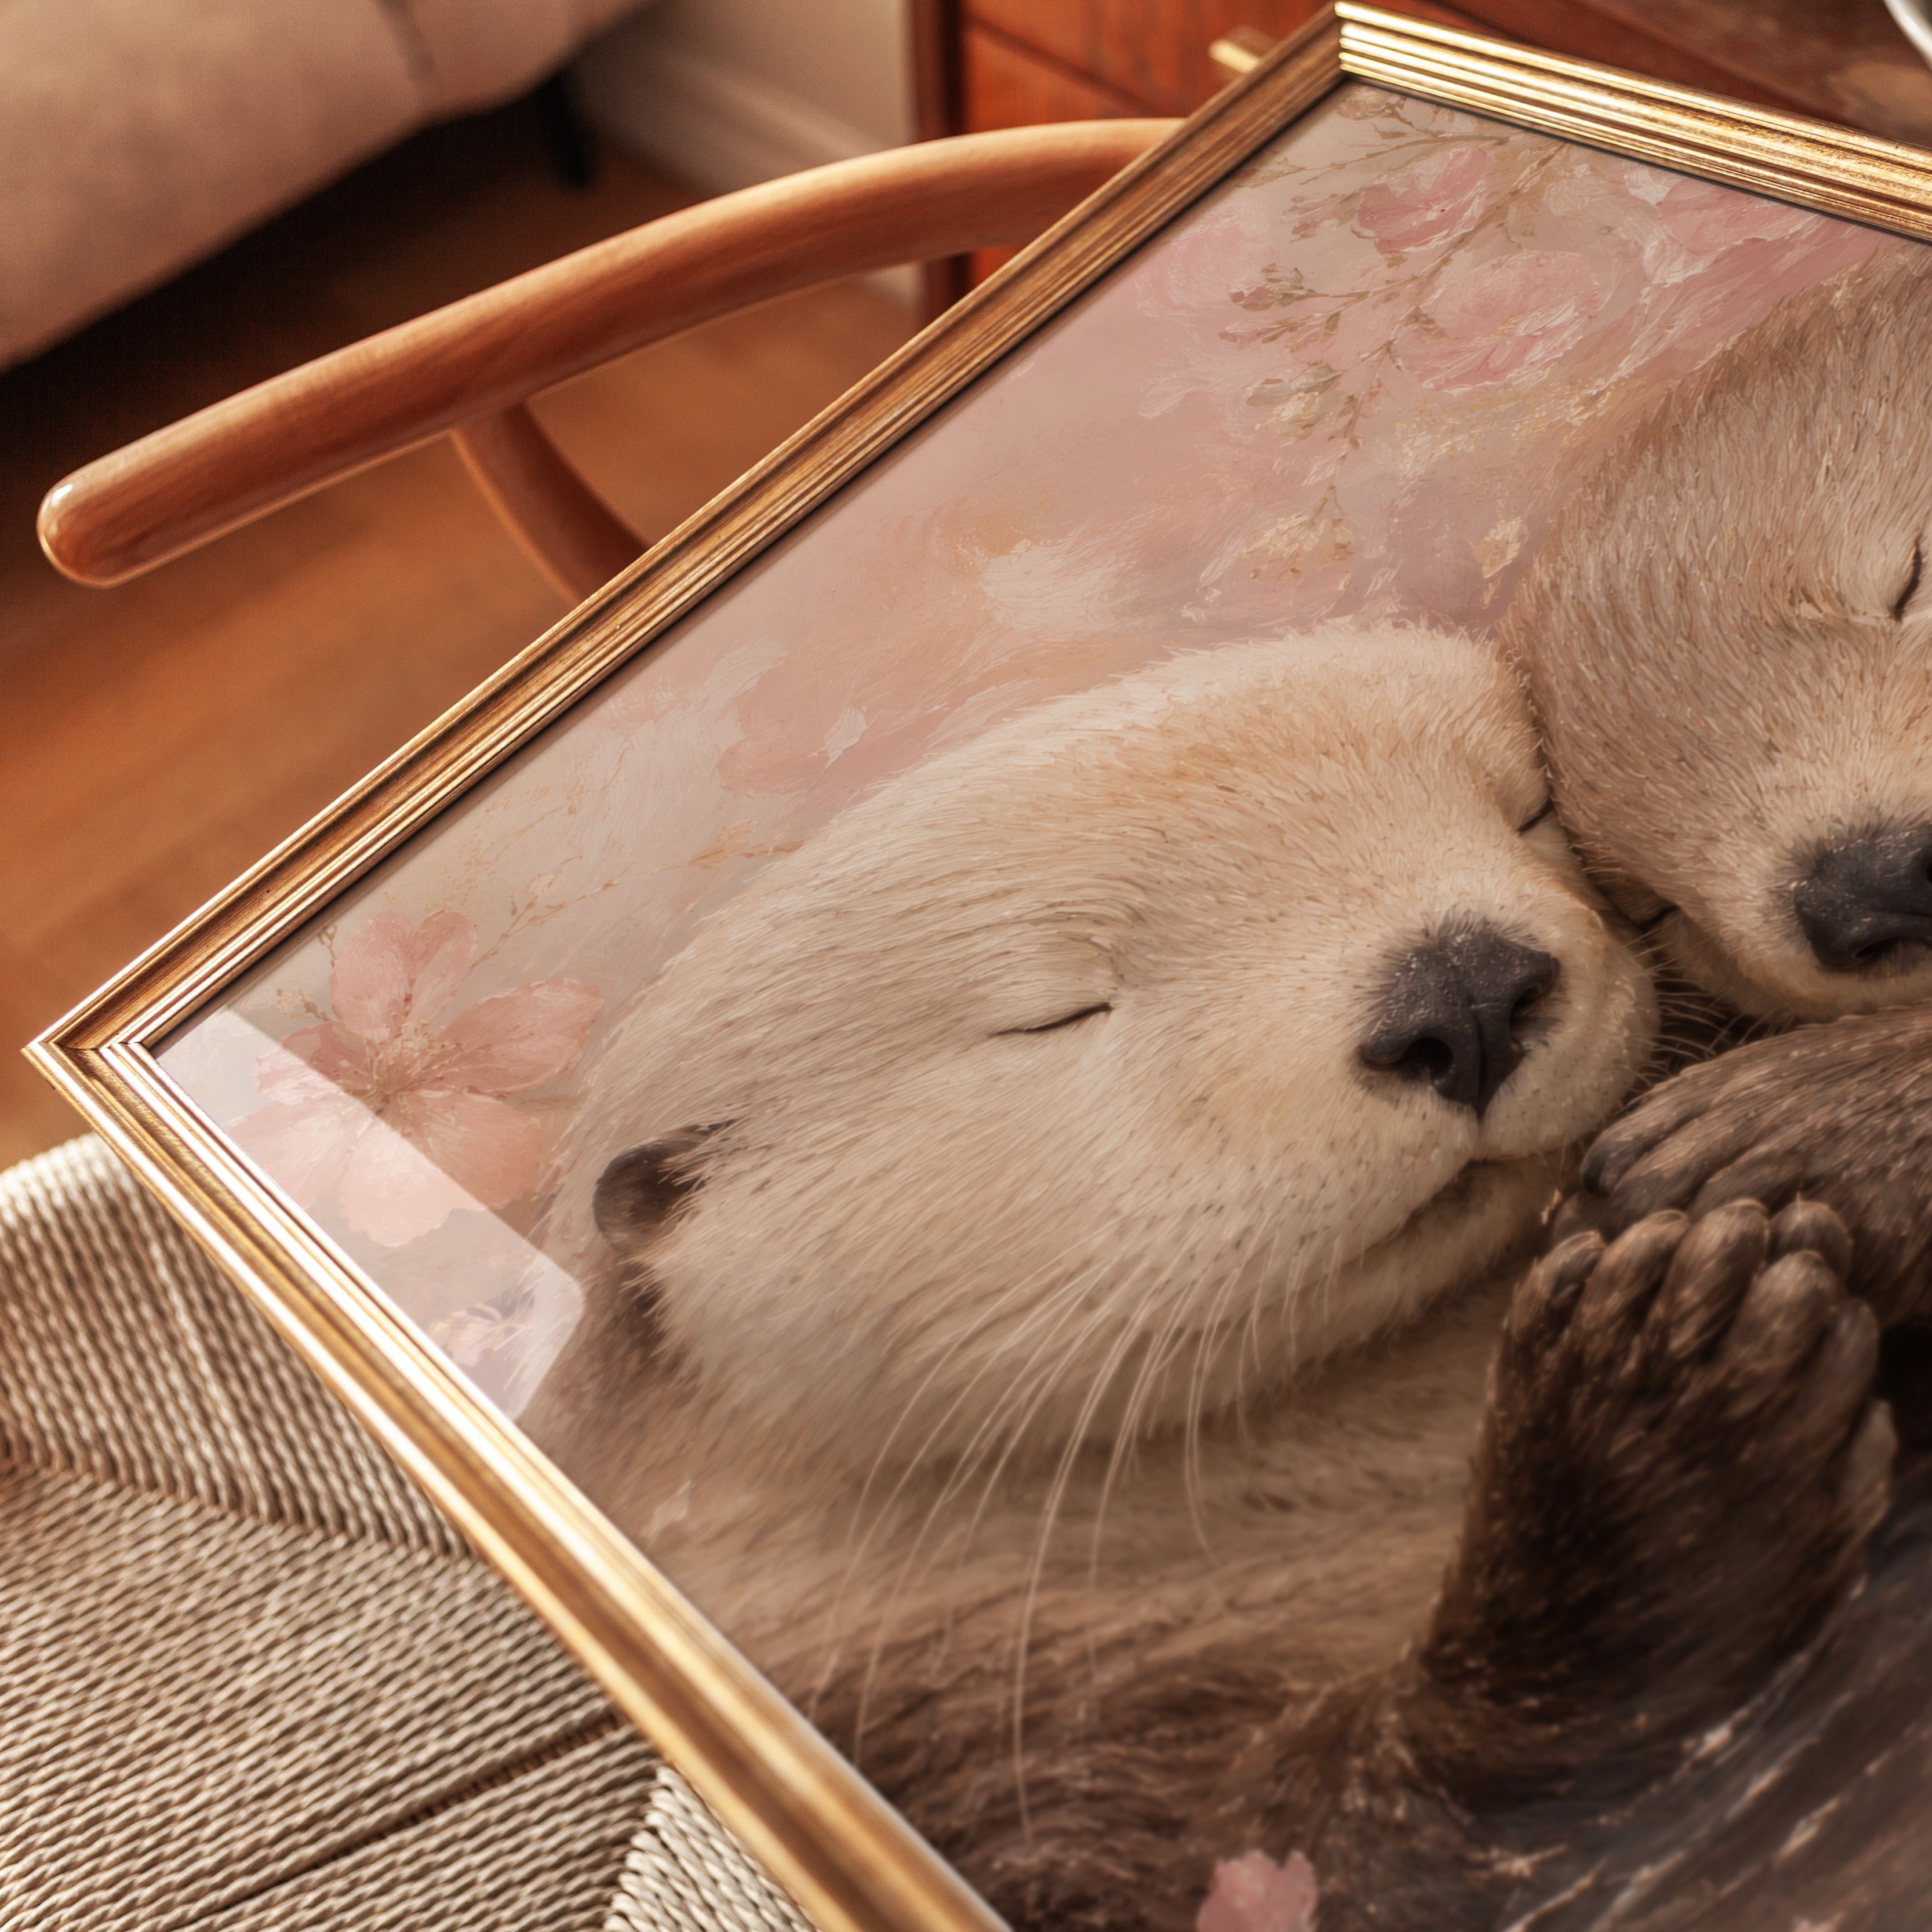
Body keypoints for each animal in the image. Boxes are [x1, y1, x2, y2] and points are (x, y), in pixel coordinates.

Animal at [522, 629, 1889, 1932]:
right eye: (1054, 1011)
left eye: (1529, 806)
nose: (1460, 990)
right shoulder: (968, 1726)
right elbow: (1376, 1855)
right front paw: (1668, 1376)